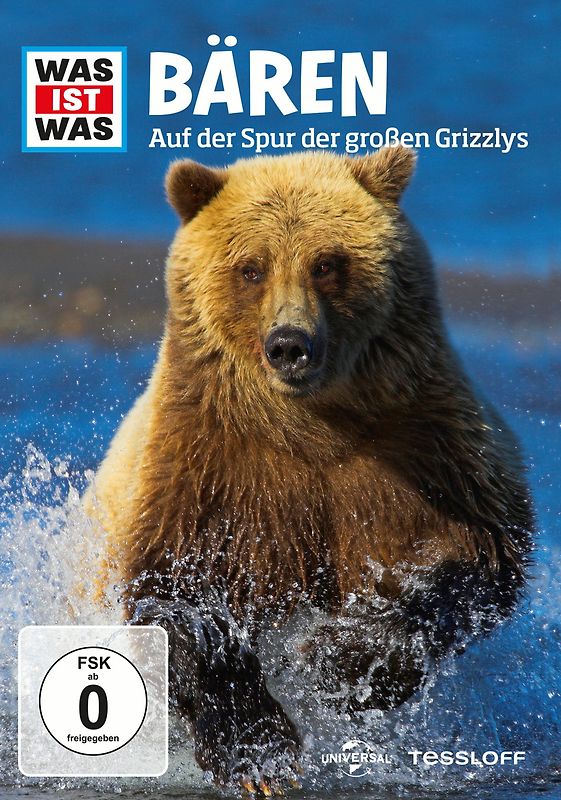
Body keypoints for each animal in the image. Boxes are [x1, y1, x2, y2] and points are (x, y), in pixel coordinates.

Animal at [85, 146, 533, 795]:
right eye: (251, 268)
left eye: (326, 263)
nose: (289, 344)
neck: (312, 423)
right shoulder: (206, 469)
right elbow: (175, 602)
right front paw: (257, 754)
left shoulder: (424, 450)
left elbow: (470, 561)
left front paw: (335, 663)